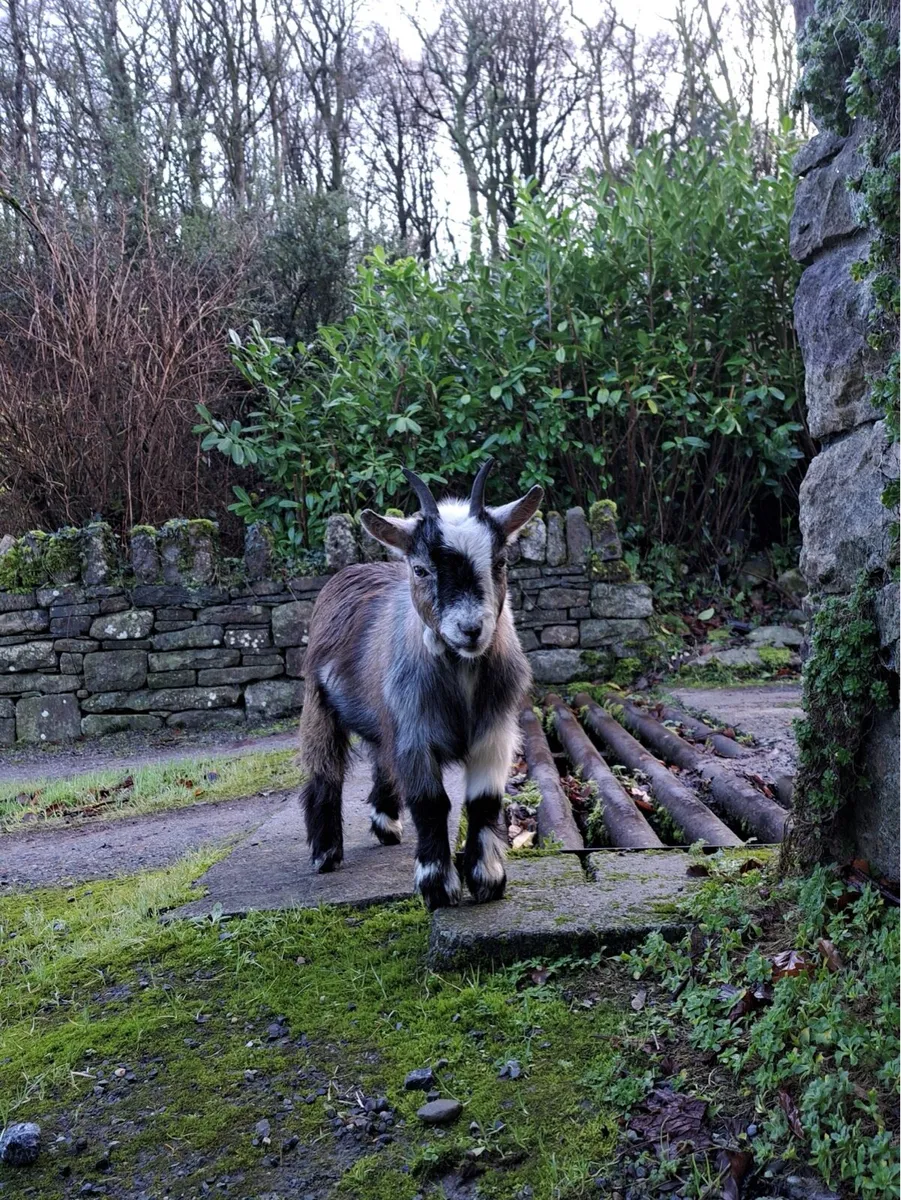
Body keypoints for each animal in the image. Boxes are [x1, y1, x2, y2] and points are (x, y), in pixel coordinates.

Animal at [298, 458, 543, 909]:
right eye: (421, 569)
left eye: (500, 562)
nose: (470, 629)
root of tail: (354, 568)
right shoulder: (415, 732)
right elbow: (431, 804)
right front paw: (437, 886)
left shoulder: (494, 730)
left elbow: (483, 801)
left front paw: (487, 879)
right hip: (317, 703)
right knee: (325, 771)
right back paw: (325, 853)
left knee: (382, 759)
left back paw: (386, 826)